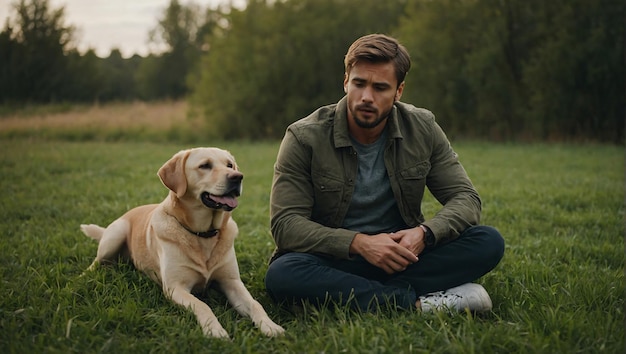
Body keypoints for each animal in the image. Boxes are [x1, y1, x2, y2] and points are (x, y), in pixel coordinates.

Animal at [80, 147, 282, 338]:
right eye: (205, 165)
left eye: (230, 165)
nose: (238, 177)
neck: (203, 234)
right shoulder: (175, 288)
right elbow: (202, 305)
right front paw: (215, 331)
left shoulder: (231, 282)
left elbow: (255, 304)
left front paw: (270, 326)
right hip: (115, 235)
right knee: (96, 262)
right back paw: (84, 276)